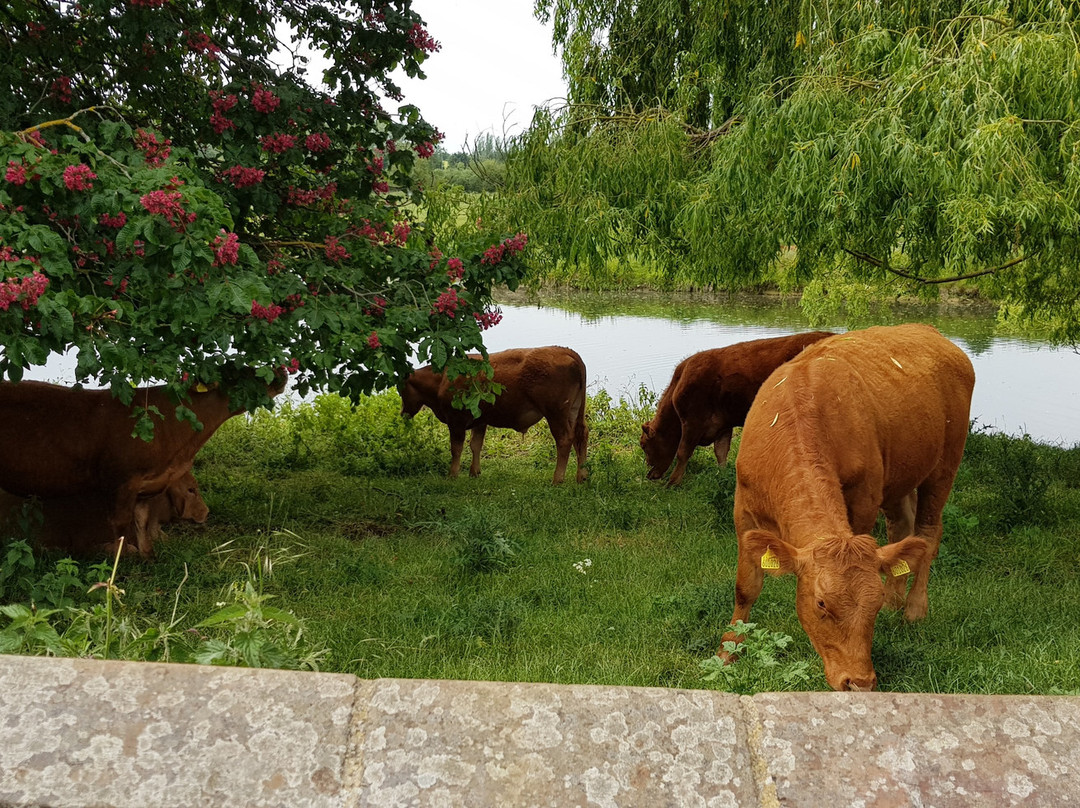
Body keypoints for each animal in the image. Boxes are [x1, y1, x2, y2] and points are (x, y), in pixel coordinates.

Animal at [399, 343, 587, 483]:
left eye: (401, 390)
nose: (402, 413)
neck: (441, 380)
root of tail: (564, 351)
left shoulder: (455, 420)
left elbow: (456, 448)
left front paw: (452, 475)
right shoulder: (480, 420)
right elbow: (475, 445)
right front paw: (474, 472)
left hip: (555, 413)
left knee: (564, 439)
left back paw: (557, 479)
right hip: (573, 410)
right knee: (581, 435)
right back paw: (581, 477)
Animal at [639, 330, 833, 483]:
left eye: (644, 445)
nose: (649, 474)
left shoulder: (692, 421)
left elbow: (682, 452)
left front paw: (673, 482)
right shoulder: (722, 425)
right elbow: (721, 453)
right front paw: (723, 477)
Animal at [721, 324, 976, 691]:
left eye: (873, 603)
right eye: (821, 603)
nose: (860, 683)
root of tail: (928, 330)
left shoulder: (863, 501)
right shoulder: (743, 510)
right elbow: (746, 588)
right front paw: (729, 650)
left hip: (945, 465)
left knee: (928, 533)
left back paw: (913, 609)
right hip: (898, 477)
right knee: (903, 527)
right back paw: (898, 600)